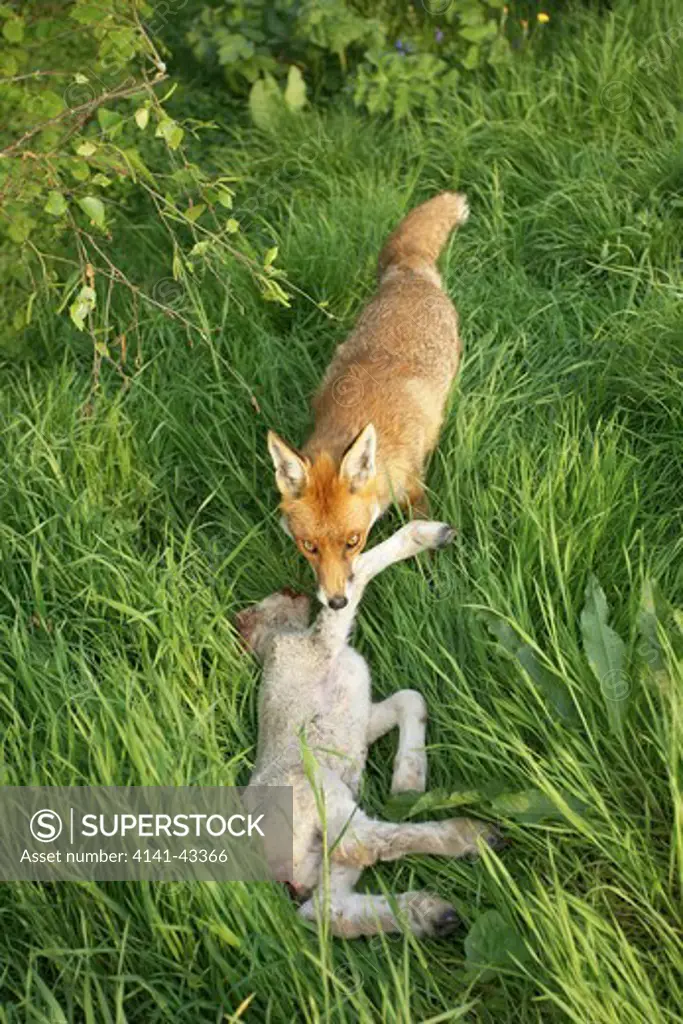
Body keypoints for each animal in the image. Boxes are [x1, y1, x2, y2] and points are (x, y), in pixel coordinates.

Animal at [266, 192, 471, 606]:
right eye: (309, 546)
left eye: (353, 541)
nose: (336, 602)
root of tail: (407, 271)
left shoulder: (414, 486)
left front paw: (431, 572)